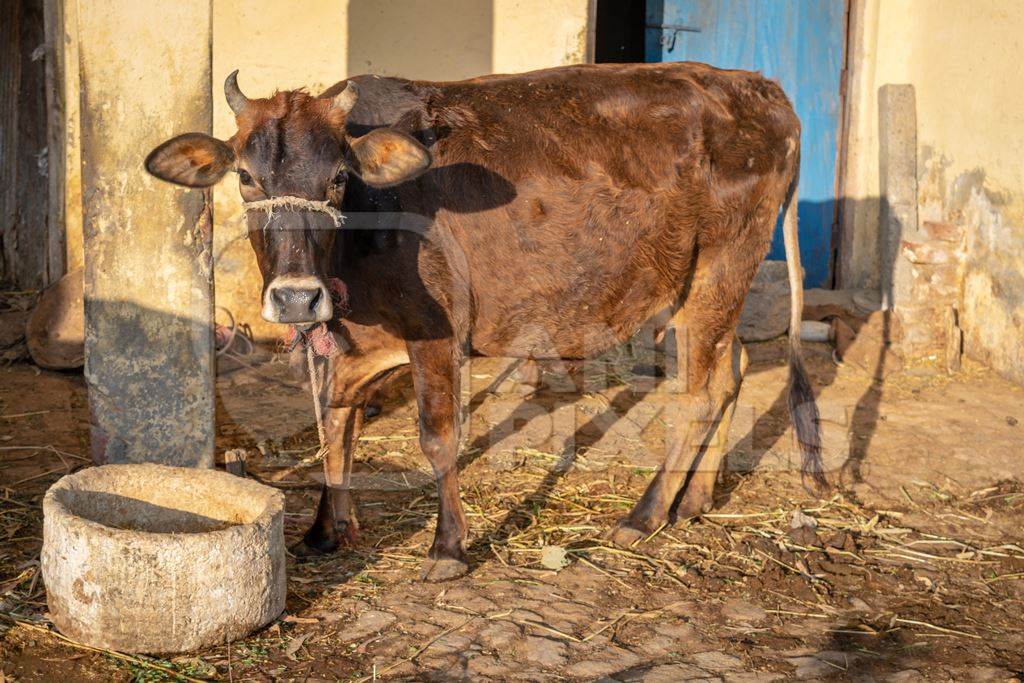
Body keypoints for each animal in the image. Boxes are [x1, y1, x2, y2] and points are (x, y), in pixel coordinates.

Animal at [146, 61, 823, 581]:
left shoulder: (437, 331)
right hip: (705, 287)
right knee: (731, 372)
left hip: (719, 271)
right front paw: (325, 528)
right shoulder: (352, 341)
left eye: (337, 178)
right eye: (245, 176)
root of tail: (760, 89)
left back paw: (644, 514)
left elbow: (437, 438)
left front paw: (447, 548)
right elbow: (335, 421)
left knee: (697, 396)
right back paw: (696, 501)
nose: (294, 299)